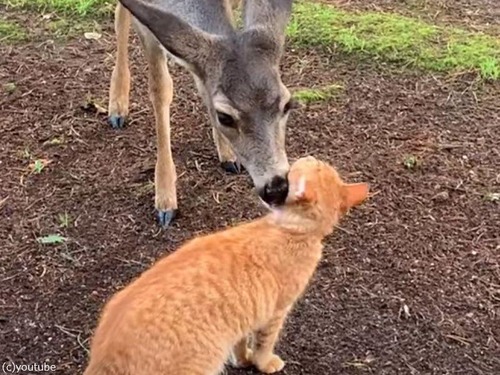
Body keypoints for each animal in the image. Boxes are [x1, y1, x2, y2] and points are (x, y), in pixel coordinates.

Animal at [84, 156, 370, 375]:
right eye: (309, 163)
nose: (306, 156)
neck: (291, 231)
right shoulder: (275, 313)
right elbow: (265, 344)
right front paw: (264, 363)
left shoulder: (246, 315)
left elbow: (242, 344)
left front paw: (243, 360)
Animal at [108, 0, 296, 228]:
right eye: (224, 116)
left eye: (287, 104)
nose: (276, 188)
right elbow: (160, 89)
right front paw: (165, 200)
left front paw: (228, 154)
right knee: (119, 16)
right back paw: (117, 107)